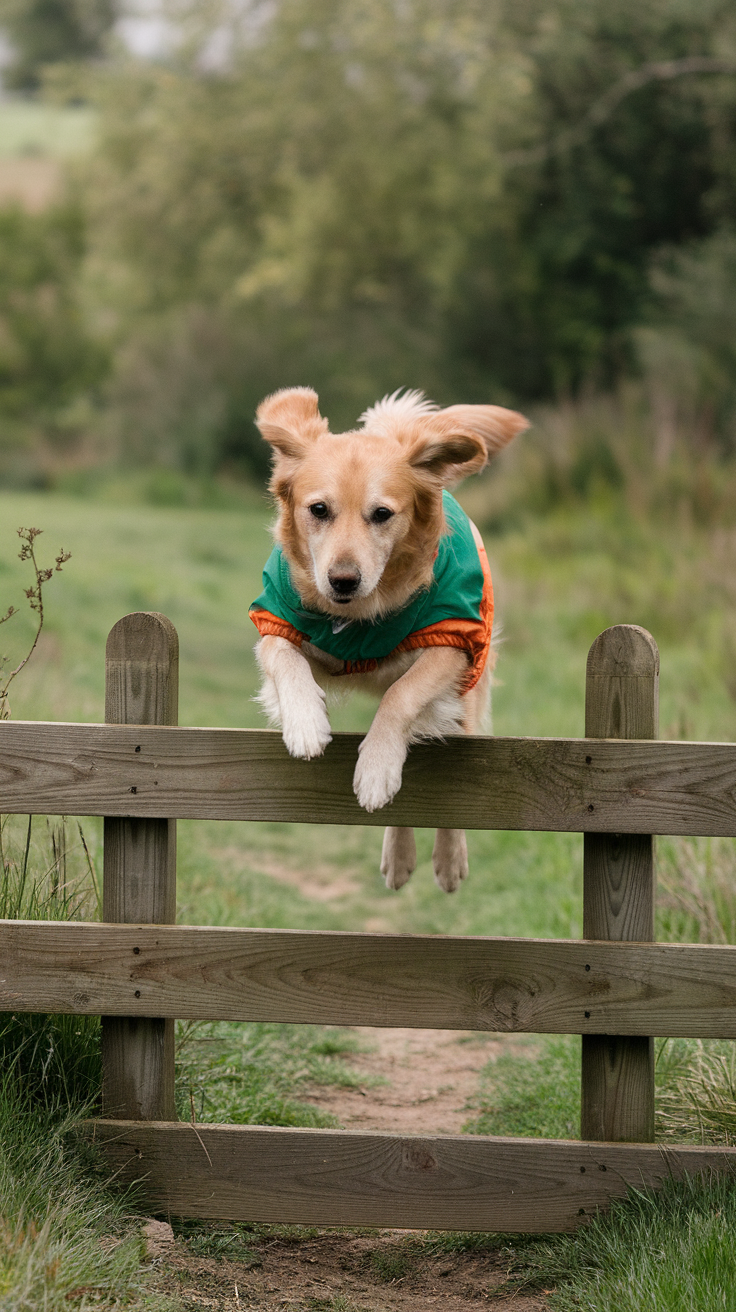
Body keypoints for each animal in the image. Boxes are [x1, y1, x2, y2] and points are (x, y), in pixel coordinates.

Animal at [249, 385, 524, 892]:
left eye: (382, 514)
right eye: (319, 510)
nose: (342, 580)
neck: (356, 616)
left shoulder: (453, 643)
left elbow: (402, 695)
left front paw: (376, 768)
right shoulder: (275, 621)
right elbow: (283, 658)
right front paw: (305, 723)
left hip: (467, 694)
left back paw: (444, 858)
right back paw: (399, 857)